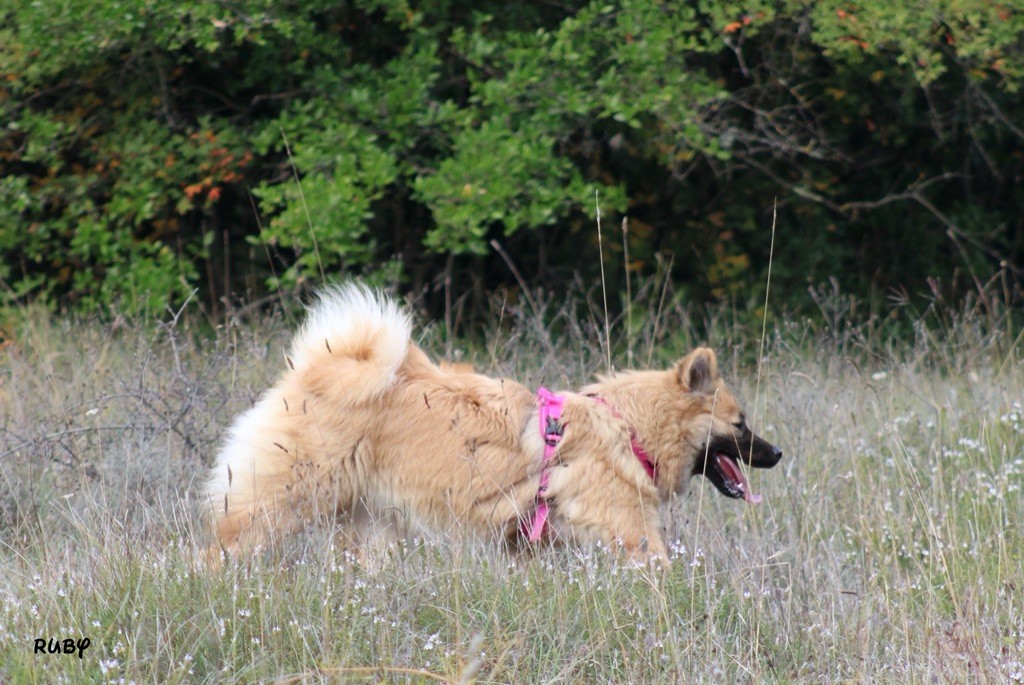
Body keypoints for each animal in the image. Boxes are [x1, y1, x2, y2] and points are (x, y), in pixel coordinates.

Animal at [207, 284, 782, 565]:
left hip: (372, 525)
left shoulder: (527, 543)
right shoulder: (632, 532)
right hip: (282, 505)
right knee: (218, 550)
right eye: (741, 424)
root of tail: (314, 371)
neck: (628, 427)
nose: (777, 454)